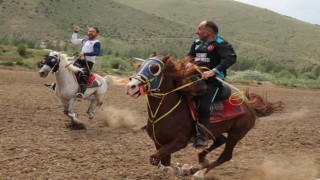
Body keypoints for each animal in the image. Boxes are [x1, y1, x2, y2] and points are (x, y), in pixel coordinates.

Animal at [126, 55, 284, 178]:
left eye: (154, 68)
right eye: (139, 66)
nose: (131, 86)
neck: (165, 111)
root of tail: (249, 107)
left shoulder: (179, 141)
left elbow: (155, 159)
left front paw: (183, 170)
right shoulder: (159, 143)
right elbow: (163, 164)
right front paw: (181, 169)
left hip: (236, 134)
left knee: (226, 155)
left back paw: (199, 172)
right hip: (214, 130)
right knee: (220, 141)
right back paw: (201, 161)